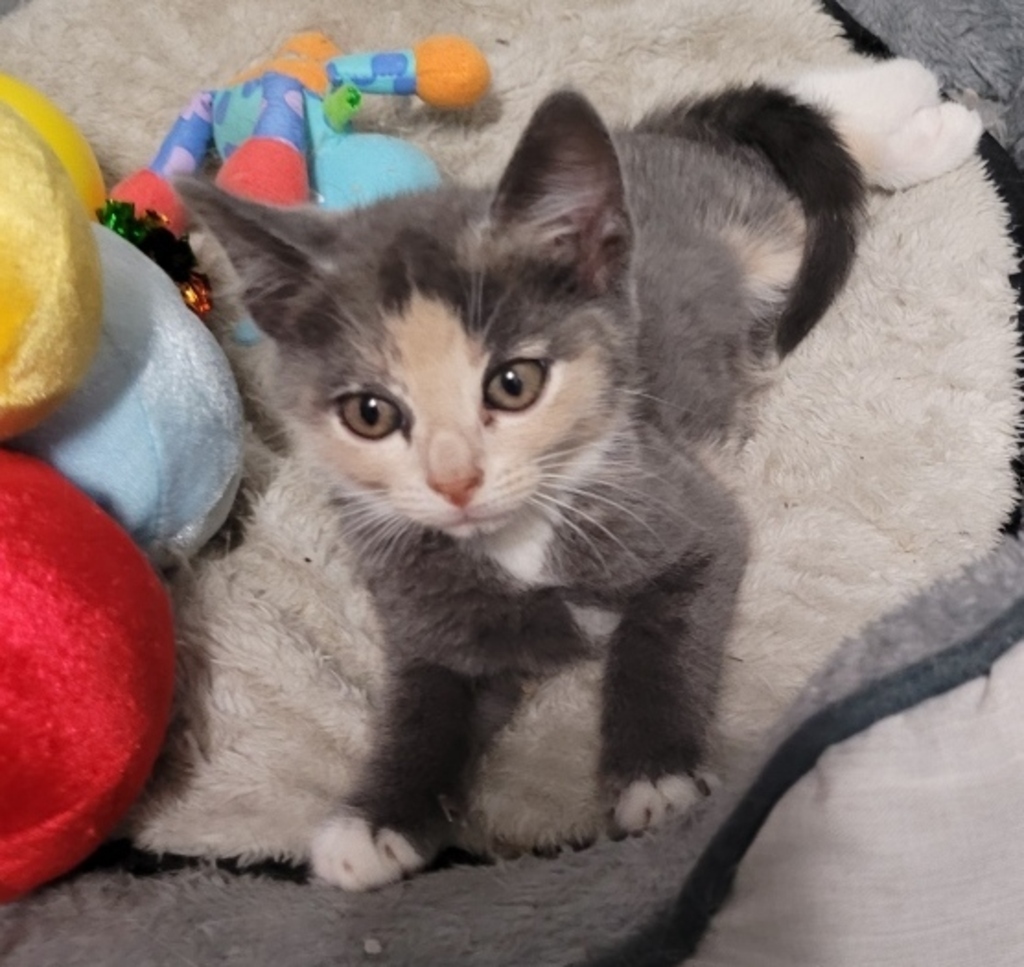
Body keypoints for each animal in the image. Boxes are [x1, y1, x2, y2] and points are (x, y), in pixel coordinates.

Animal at [178, 58, 982, 891]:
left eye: (514, 383)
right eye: (370, 413)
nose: (455, 482)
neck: (518, 538)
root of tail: (634, 143)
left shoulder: (681, 507)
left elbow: (662, 635)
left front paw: (655, 774)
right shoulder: (426, 611)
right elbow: (423, 706)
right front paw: (379, 821)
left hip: (760, 236)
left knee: (802, 135)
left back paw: (930, 114)